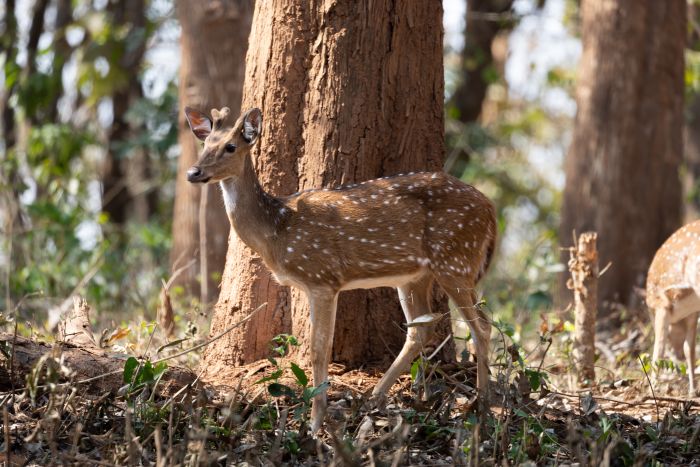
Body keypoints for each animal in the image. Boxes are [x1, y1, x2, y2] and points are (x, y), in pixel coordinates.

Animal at [648, 221, 700, 396]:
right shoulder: (693, 313)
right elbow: (689, 349)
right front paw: (692, 391)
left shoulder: (662, 305)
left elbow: (658, 348)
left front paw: (652, 389)